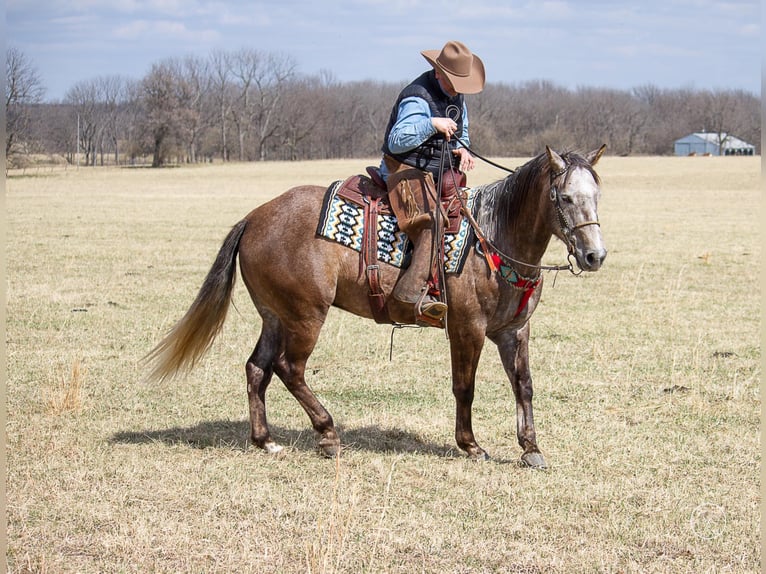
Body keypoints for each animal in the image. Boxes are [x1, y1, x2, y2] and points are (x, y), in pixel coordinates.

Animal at [144, 143, 608, 468]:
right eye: (564, 198)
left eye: (596, 196)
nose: (594, 255)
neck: (492, 235)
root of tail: (255, 217)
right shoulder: (467, 329)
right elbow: (465, 387)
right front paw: (470, 445)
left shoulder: (513, 330)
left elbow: (524, 385)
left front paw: (530, 447)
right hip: (306, 315)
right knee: (289, 368)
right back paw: (327, 434)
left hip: (275, 315)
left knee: (257, 368)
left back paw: (266, 440)